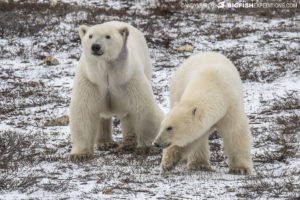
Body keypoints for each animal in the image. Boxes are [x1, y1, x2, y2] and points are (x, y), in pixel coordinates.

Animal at [67, 21, 163, 161]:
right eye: (90, 36)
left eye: (108, 36)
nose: (95, 46)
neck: (107, 73)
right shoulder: (91, 81)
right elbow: (84, 110)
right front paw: (80, 155)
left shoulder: (129, 78)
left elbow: (143, 108)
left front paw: (145, 147)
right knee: (102, 115)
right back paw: (105, 143)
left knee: (129, 115)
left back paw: (128, 144)